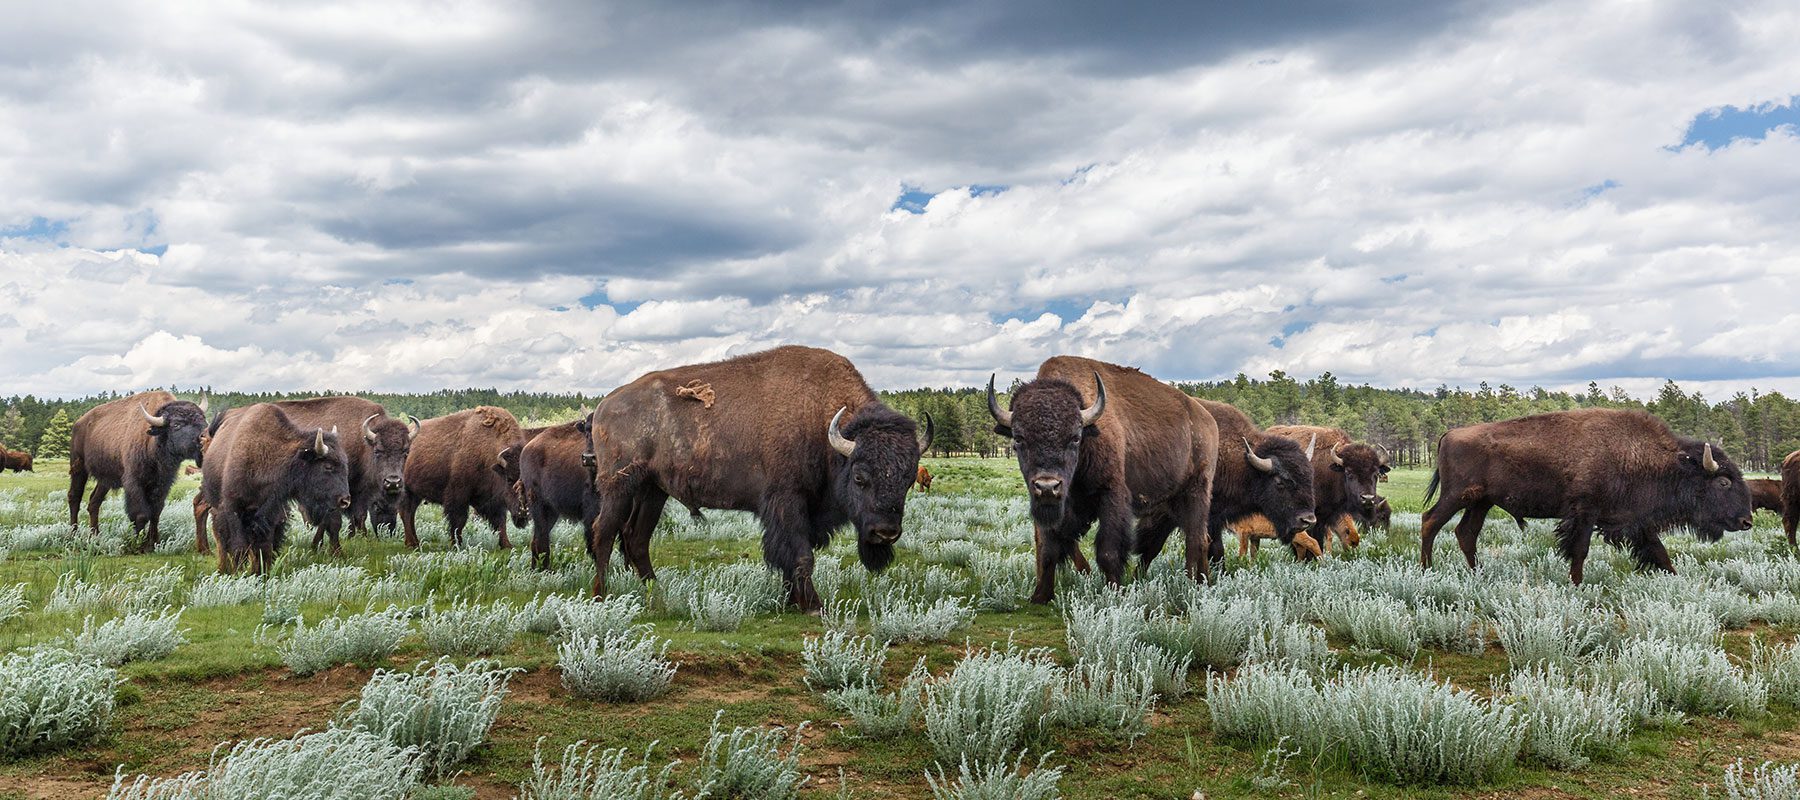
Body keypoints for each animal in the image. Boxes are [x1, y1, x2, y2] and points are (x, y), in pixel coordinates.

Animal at [68, 391, 208, 553]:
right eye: (176, 425)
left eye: (203, 420)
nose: (203, 442)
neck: (153, 440)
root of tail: (79, 423)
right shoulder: (134, 482)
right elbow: (140, 514)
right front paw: (136, 544)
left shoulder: (162, 484)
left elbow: (156, 513)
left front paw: (152, 543)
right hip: (79, 467)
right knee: (74, 497)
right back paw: (74, 535)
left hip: (105, 480)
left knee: (94, 502)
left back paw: (95, 536)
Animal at [199, 403, 352, 574]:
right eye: (328, 466)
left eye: (345, 464)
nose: (345, 500)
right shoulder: (233, 508)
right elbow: (239, 547)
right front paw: (238, 573)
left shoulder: (270, 514)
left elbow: (264, 548)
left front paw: (261, 573)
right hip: (216, 505)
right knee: (221, 537)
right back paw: (223, 568)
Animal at [400, 406, 527, 549]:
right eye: (509, 479)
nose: (524, 512)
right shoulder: (458, 495)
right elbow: (459, 520)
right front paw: (456, 544)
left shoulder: (494, 501)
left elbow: (500, 521)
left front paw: (507, 544)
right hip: (406, 490)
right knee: (406, 512)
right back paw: (412, 543)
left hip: (416, 493)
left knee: (411, 513)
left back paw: (415, 541)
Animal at [587, 346, 929, 610]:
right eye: (860, 477)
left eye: (908, 479)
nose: (885, 532)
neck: (819, 418)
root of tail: (604, 404)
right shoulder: (787, 501)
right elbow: (801, 555)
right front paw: (813, 605)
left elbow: (792, 557)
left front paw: (793, 601)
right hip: (618, 485)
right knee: (603, 532)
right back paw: (601, 597)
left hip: (652, 490)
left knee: (636, 538)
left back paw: (656, 591)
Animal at [1421, 408, 1753, 582]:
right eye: (1723, 482)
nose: (1746, 521)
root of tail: (1450, 434)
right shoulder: (1584, 513)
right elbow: (1580, 550)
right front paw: (1576, 584)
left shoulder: (1636, 522)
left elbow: (1659, 552)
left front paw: (1677, 579)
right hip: (1457, 495)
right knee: (1430, 522)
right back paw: (1427, 570)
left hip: (1482, 502)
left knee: (1466, 533)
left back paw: (1478, 573)